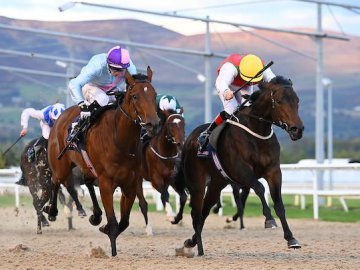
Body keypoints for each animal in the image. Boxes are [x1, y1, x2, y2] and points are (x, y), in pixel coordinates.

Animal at [47, 68, 160, 258]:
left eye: (154, 95)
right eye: (135, 96)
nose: (154, 124)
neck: (119, 139)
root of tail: (61, 117)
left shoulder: (130, 184)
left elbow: (124, 222)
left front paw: (103, 226)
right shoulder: (107, 182)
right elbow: (114, 222)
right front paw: (113, 251)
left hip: (88, 167)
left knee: (87, 181)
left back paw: (96, 215)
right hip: (61, 166)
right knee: (55, 181)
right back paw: (52, 212)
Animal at [174, 76, 304, 258]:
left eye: (297, 101)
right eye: (279, 101)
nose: (297, 129)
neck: (257, 133)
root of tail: (189, 140)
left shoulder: (273, 172)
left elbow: (279, 203)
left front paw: (291, 239)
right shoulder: (242, 171)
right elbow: (259, 188)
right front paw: (269, 219)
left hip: (217, 183)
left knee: (204, 212)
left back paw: (191, 243)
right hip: (197, 183)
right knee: (196, 213)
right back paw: (198, 248)